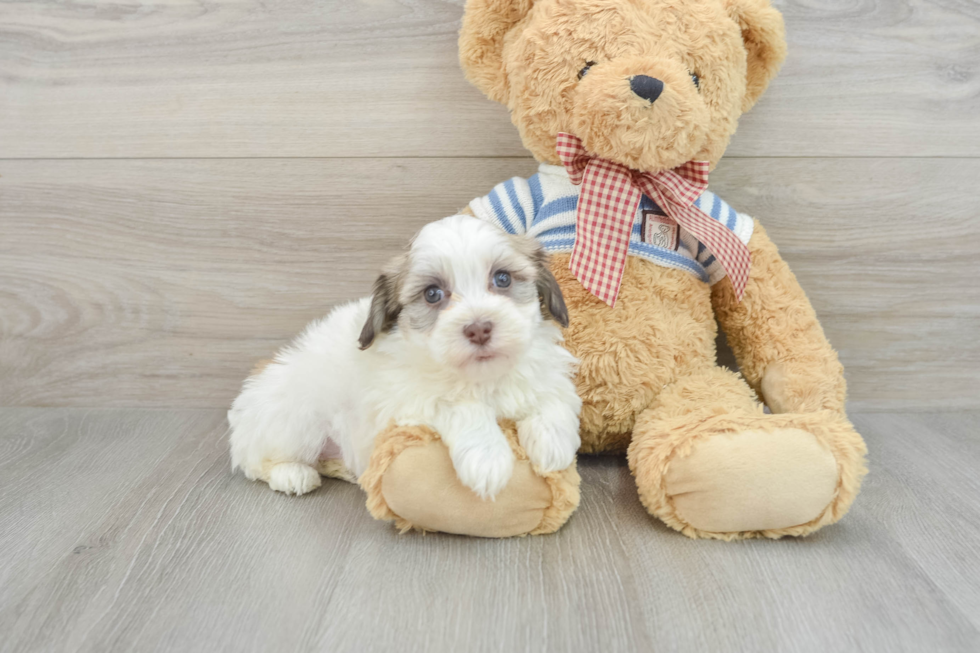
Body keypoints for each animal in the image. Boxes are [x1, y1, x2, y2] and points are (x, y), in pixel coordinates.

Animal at [228, 215, 580, 500]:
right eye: (432, 294)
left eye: (503, 278)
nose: (479, 328)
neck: (482, 377)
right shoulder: (407, 402)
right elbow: (460, 406)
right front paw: (488, 458)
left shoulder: (544, 372)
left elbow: (553, 394)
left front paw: (553, 441)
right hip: (295, 418)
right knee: (257, 460)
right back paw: (292, 474)